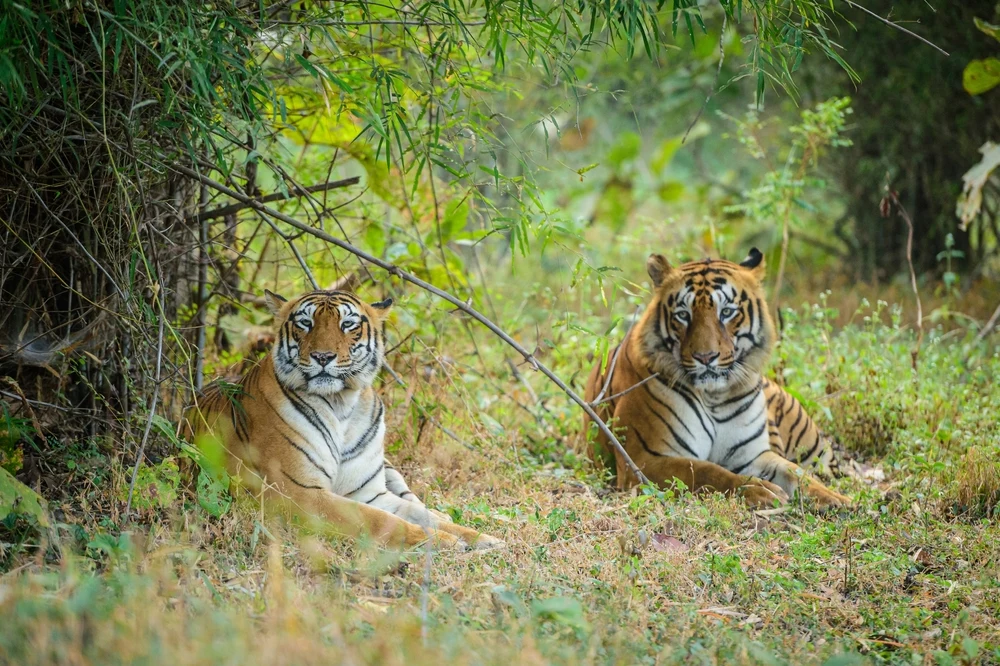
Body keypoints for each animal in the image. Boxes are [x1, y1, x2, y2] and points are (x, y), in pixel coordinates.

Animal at [189, 289, 502, 550]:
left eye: (348, 325)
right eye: (305, 323)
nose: (323, 356)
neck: (341, 406)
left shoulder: (369, 492)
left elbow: (418, 514)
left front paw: (481, 539)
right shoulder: (296, 492)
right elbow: (379, 520)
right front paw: (442, 541)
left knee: (418, 502)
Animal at [583, 249, 850, 509]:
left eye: (727, 312)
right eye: (683, 315)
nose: (706, 357)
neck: (715, 397)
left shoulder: (754, 454)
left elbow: (794, 472)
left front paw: (835, 498)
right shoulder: (642, 460)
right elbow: (707, 471)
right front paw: (760, 490)